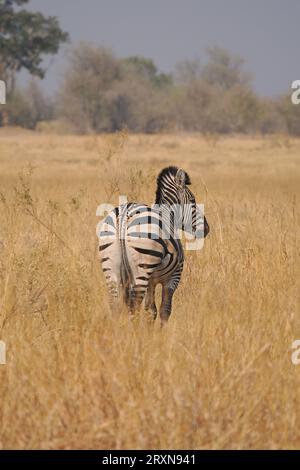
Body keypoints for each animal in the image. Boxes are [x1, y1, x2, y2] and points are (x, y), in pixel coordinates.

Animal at [98, 165, 209, 324]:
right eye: (193, 200)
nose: (206, 228)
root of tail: (124, 215)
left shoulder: (151, 281)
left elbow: (151, 311)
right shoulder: (173, 277)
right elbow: (165, 310)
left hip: (111, 267)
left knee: (115, 305)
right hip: (143, 266)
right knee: (134, 306)